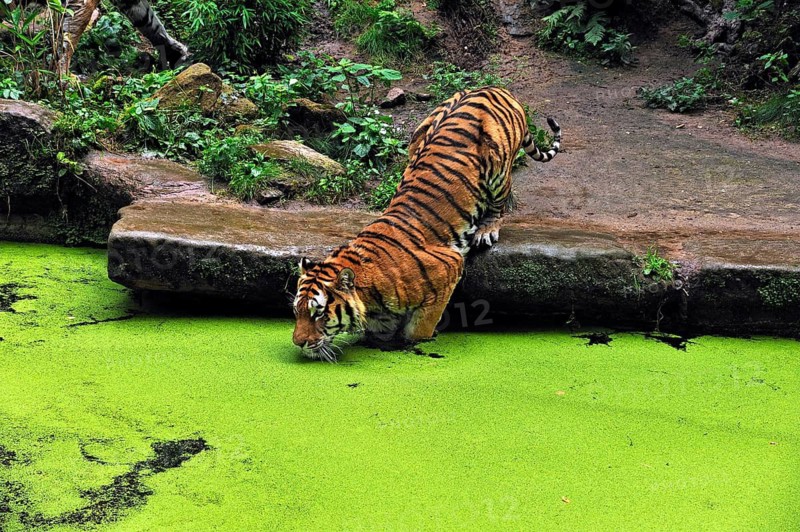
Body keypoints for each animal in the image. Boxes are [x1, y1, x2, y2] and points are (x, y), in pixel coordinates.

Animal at [292, 87, 562, 361]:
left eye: (319, 313)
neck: (369, 295)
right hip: (419, 133)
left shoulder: (449, 265)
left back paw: (486, 230)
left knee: (501, 201)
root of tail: (493, 88)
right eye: (296, 311)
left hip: (497, 165)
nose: (298, 343)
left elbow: (418, 330)